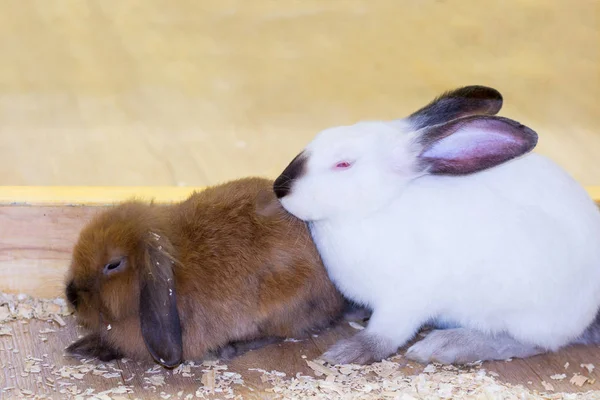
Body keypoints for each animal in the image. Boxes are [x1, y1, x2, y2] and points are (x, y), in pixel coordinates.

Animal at [274, 86, 600, 364]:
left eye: (344, 164)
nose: (280, 188)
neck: (378, 208)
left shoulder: (405, 300)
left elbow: (384, 335)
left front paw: (346, 353)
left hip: (524, 312)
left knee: (529, 343)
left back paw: (444, 347)